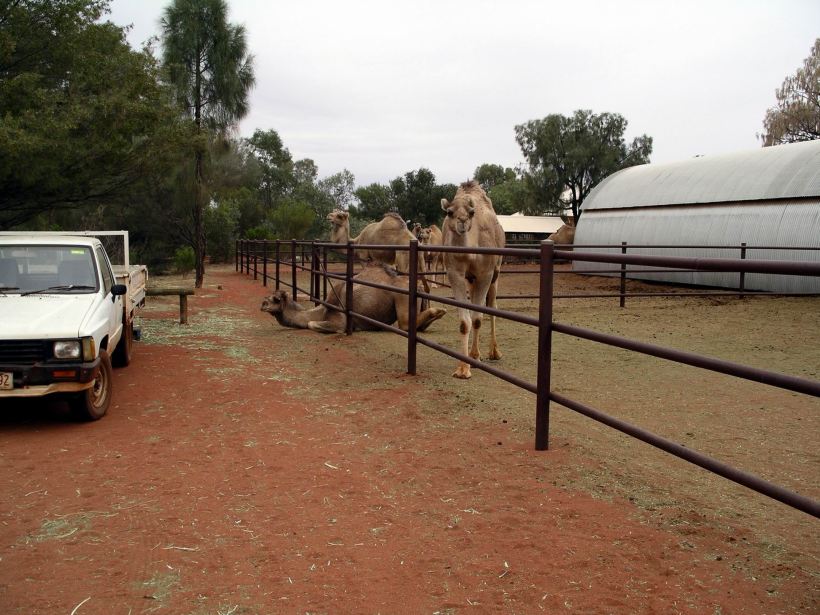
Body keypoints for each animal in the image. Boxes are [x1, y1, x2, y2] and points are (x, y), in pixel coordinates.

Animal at [261, 264, 446, 334]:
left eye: (276, 299)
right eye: (268, 297)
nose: (262, 304)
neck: (321, 310)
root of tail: (418, 287)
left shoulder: (338, 319)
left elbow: (311, 324)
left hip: (401, 296)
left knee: (405, 324)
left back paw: (439, 310)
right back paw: (439, 312)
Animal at [440, 180, 505, 379]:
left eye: (471, 212)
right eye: (449, 212)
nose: (462, 221)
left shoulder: (486, 273)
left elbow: (477, 318)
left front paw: (475, 357)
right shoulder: (455, 274)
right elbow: (464, 322)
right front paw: (462, 368)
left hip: (496, 273)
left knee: (492, 307)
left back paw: (494, 352)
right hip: (471, 280)